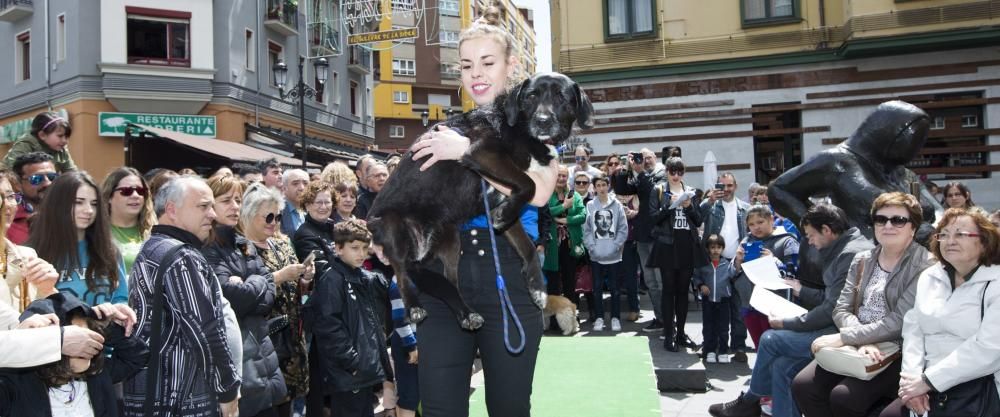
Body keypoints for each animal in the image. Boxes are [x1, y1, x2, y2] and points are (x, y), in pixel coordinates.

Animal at [368, 73, 592, 330]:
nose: (543, 121)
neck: (519, 128)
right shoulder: (481, 153)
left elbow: (528, 246)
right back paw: (413, 306)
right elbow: (529, 184)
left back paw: (466, 313)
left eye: (561, 97)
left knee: (449, 280)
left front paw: (537, 288)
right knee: (401, 271)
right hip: (392, 227)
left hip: (451, 241)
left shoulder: (500, 202)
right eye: (531, 96)